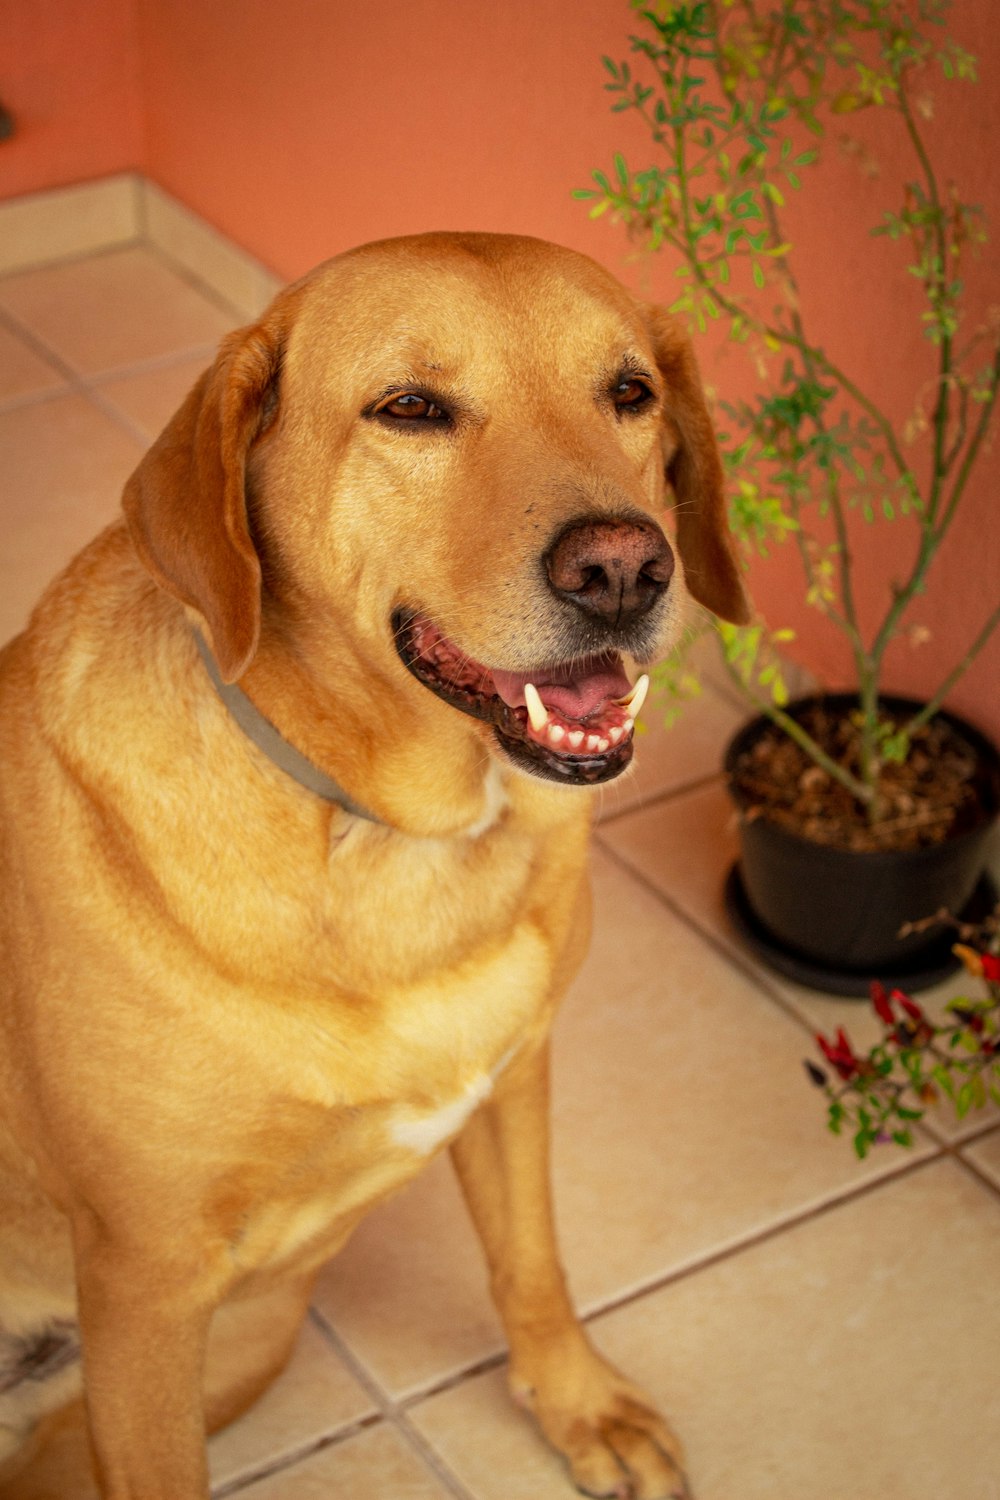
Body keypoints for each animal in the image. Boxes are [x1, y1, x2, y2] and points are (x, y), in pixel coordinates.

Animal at [0, 234, 746, 1500]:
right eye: (410, 410)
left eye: (629, 391)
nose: (623, 569)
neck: (398, 838)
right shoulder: (146, 1291)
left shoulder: (517, 1072)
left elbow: (531, 1260)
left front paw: (576, 1402)